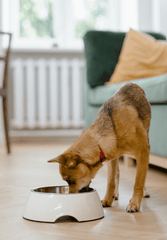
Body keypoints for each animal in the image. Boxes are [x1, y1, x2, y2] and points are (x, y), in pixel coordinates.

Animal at [48, 82, 151, 212]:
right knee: (117, 173)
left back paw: (144, 191)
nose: (70, 196)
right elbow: (110, 181)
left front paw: (134, 203)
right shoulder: (112, 155)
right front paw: (108, 199)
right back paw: (115, 194)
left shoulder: (143, 152)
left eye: (69, 180)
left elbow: (138, 181)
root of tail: (132, 83)